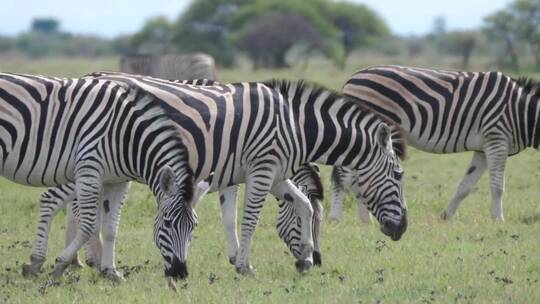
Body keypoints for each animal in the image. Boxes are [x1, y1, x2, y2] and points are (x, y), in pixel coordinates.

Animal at [0, 72, 195, 282]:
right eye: (167, 223)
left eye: (193, 227)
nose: (180, 273)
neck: (125, 137)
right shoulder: (89, 169)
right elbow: (88, 225)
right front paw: (61, 264)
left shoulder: (117, 181)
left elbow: (111, 228)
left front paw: (111, 271)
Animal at [338, 64, 540, 221]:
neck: (522, 112)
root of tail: (352, 77)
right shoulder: (497, 140)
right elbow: (498, 187)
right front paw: (498, 219)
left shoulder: (483, 149)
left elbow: (465, 186)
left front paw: (446, 216)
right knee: (349, 177)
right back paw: (354, 219)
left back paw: (364, 220)